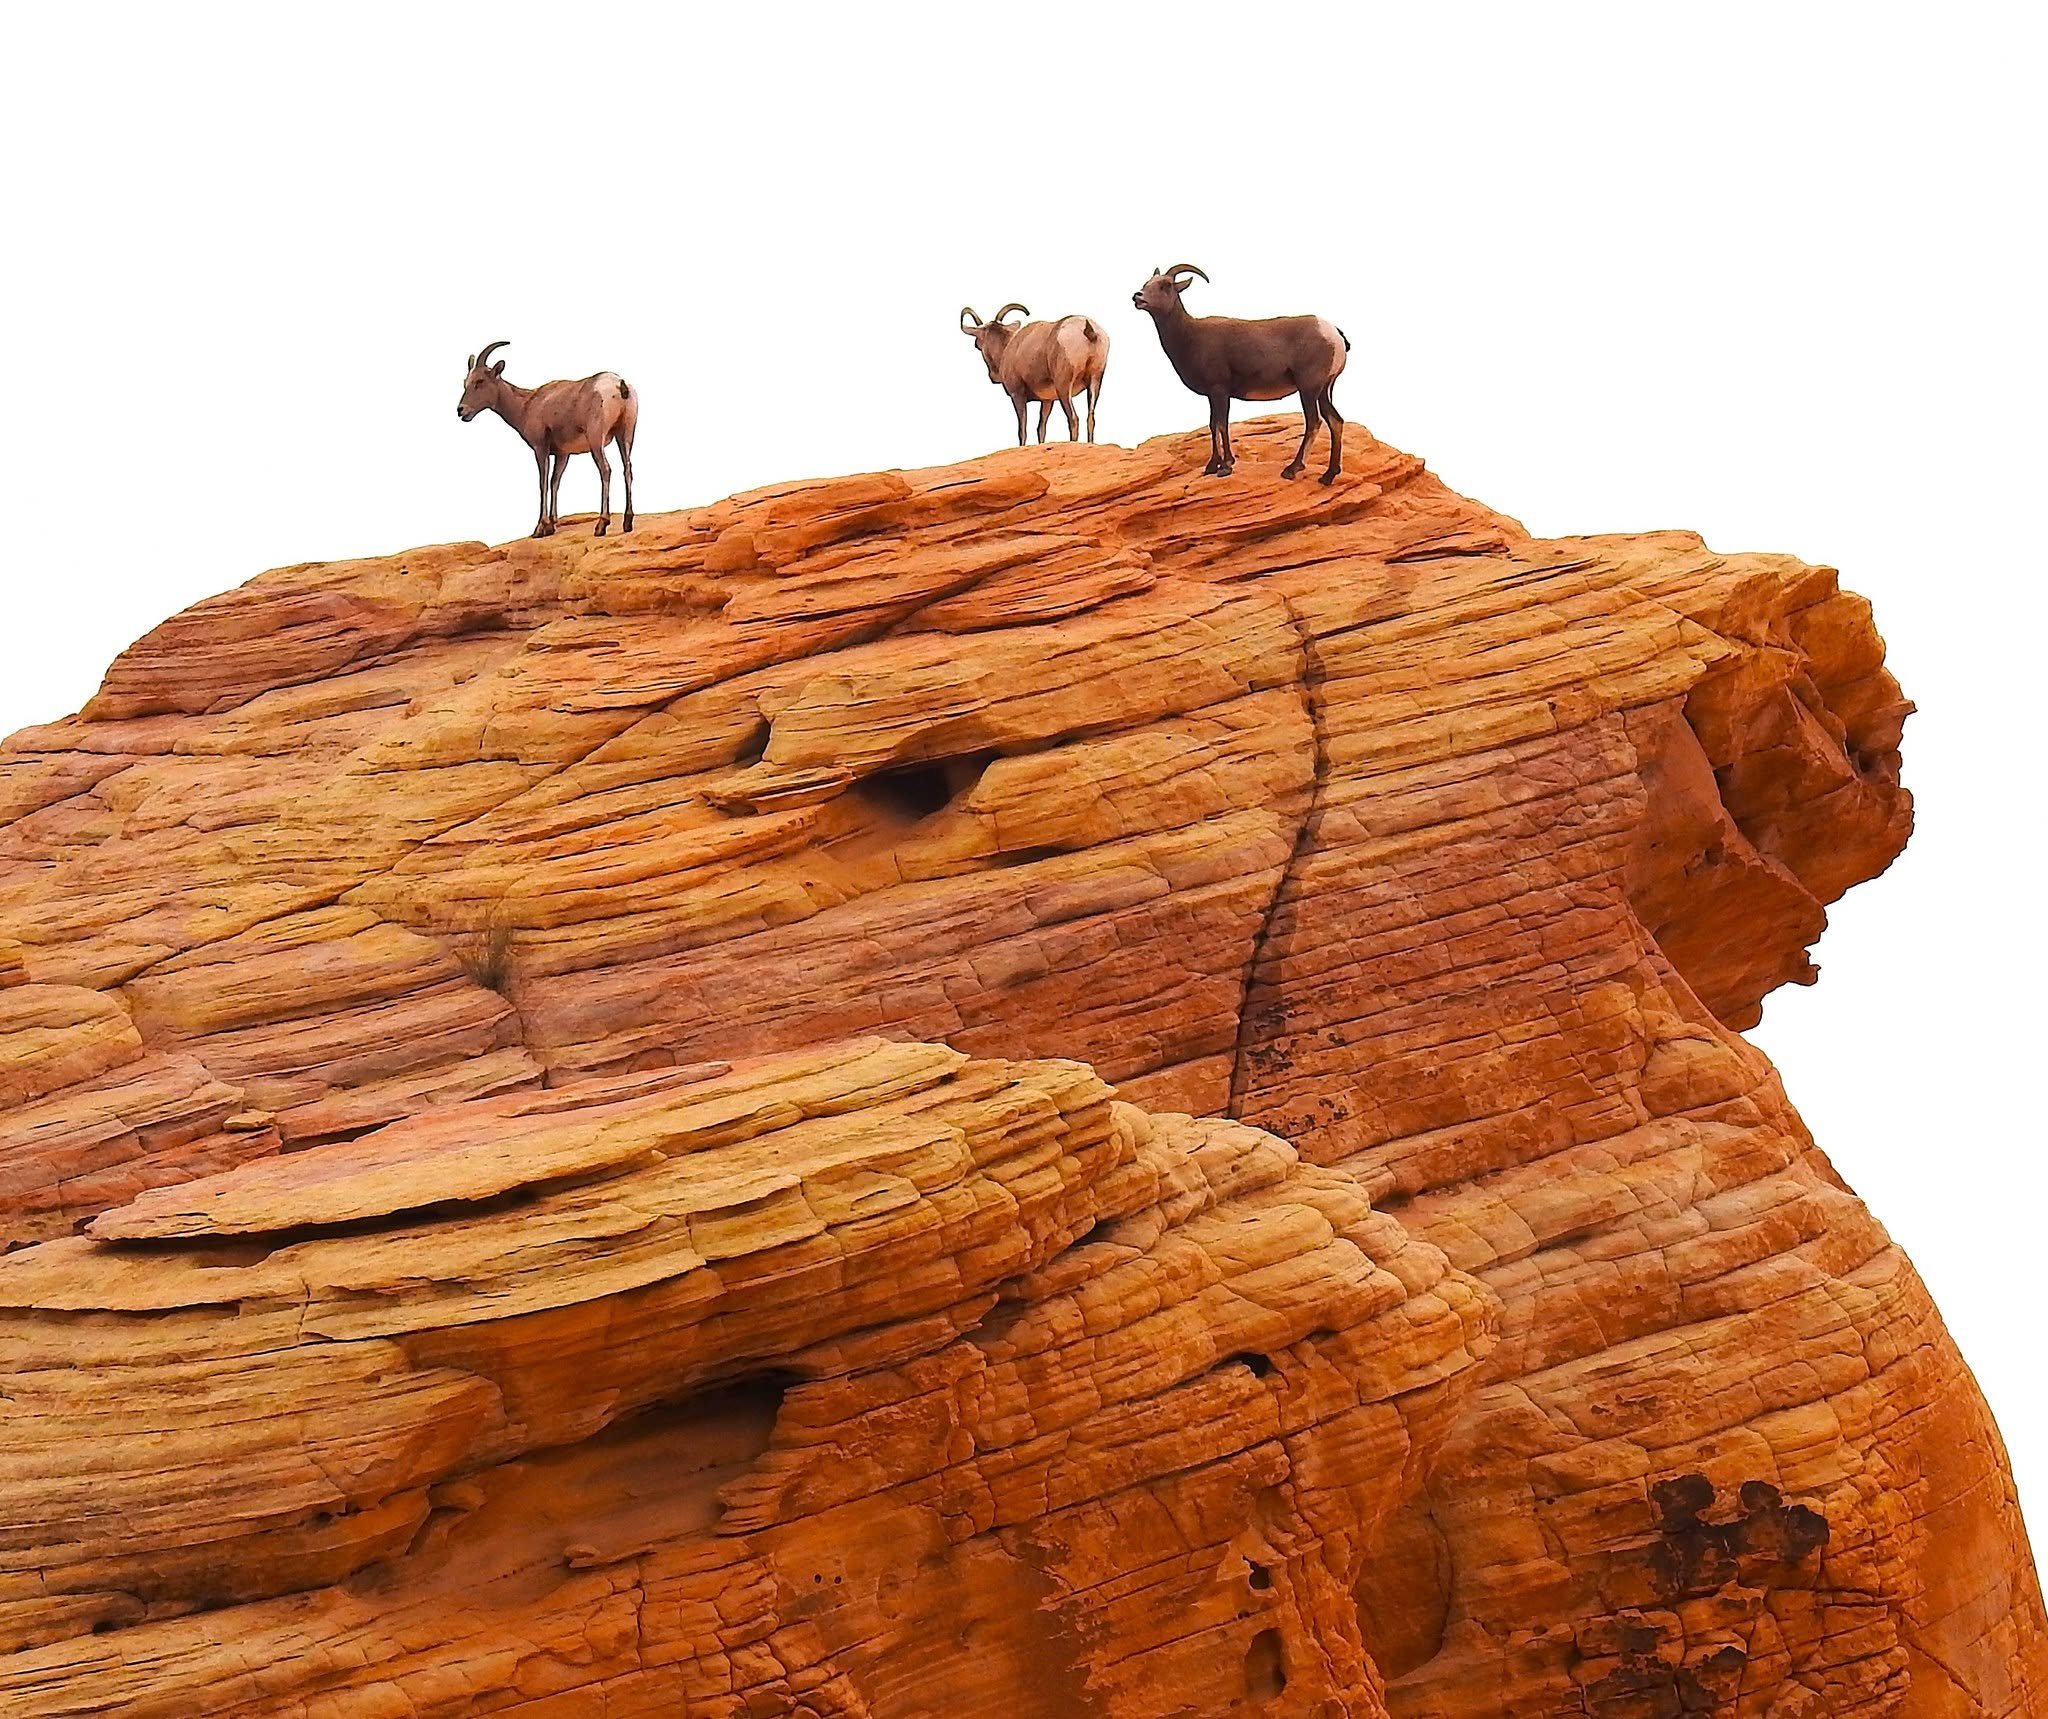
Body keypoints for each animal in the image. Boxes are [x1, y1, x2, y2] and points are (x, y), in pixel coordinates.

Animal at [456, 341, 638, 537]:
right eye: (465, 382)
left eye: (480, 381)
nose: (461, 410)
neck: (526, 405)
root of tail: (620, 385)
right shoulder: (562, 454)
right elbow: (554, 481)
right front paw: (551, 524)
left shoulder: (540, 448)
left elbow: (542, 482)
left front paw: (540, 528)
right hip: (625, 435)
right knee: (627, 469)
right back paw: (627, 522)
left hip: (597, 440)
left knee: (606, 470)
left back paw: (601, 524)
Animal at [959, 304, 1110, 446]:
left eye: (977, 344)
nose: (993, 376)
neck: (1010, 348)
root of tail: (1087, 328)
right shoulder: (1047, 401)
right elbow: (1041, 429)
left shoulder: (1018, 396)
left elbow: (1022, 430)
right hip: (1095, 381)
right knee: (1090, 418)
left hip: (1064, 388)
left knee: (1073, 418)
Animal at [1131, 265, 1350, 484]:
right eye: (1147, 284)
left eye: (1166, 285)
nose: (1138, 296)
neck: (1189, 337)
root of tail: (1333, 333)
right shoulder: (1213, 394)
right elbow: (1213, 425)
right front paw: (1212, 466)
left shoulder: (1219, 390)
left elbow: (1221, 425)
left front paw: (1226, 466)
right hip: (1323, 390)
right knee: (1335, 421)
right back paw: (1328, 476)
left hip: (1308, 390)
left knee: (1314, 422)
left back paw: (1292, 470)